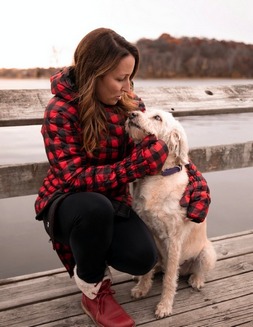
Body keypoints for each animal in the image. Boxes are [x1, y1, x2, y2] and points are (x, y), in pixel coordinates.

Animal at [125, 109, 216, 320]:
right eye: (144, 110)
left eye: (157, 118)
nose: (131, 113)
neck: (157, 177)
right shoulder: (148, 230)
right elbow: (148, 269)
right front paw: (142, 287)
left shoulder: (173, 239)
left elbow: (169, 280)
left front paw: (164, 306)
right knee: (158, 267)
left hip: (207, 253)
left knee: (195, 271)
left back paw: (196, 279)